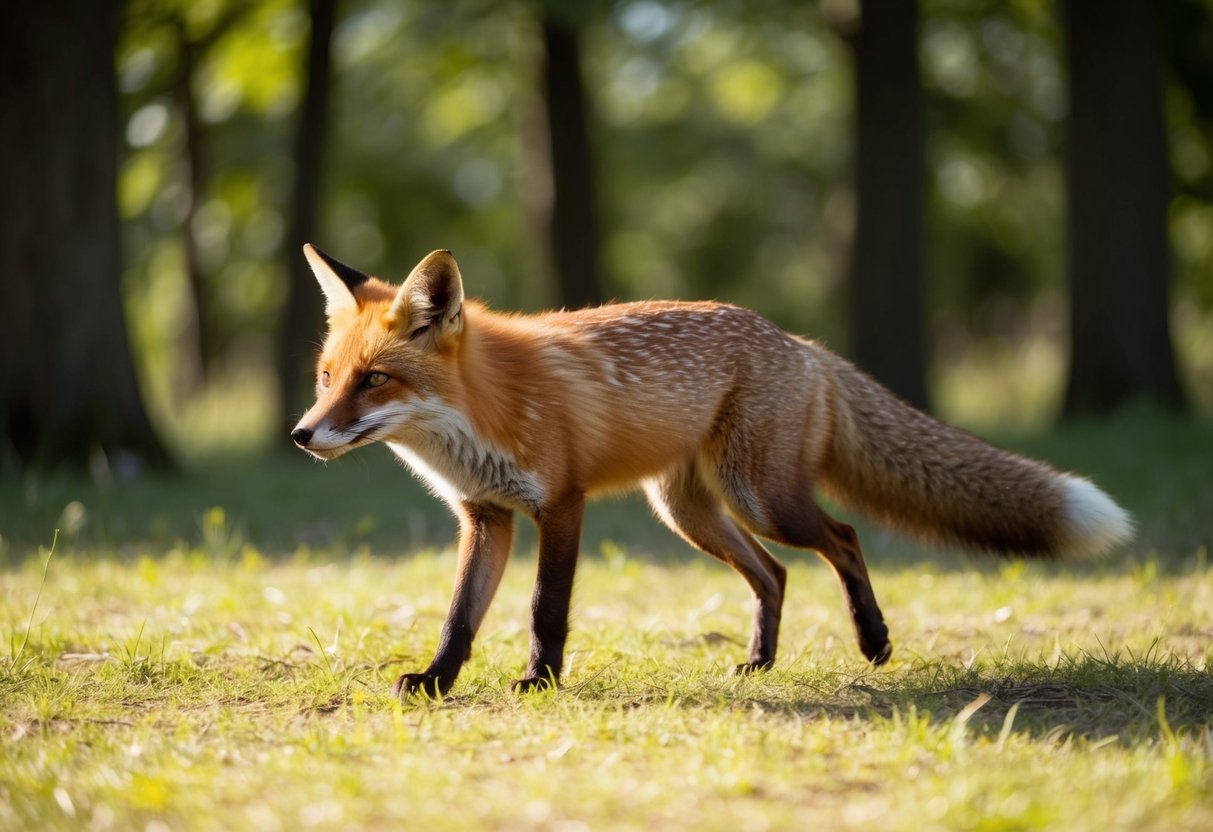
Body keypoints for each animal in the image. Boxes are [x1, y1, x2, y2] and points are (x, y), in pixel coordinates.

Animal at [290, 244, 1133, 698]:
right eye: (326, 377)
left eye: (374, 381)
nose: (301, 435)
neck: (482, 412)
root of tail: (800, 343)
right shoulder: (485, 517)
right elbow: (459, 617)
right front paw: (435, 682)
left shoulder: (560, 505)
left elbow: (542, 609)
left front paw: (541, 681)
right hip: (691, 513)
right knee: (775, 575)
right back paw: (759, 662)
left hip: (762, 500)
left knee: (842, 537)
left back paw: (873, 641)